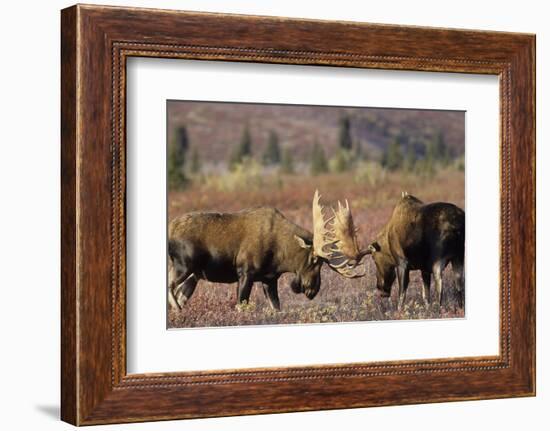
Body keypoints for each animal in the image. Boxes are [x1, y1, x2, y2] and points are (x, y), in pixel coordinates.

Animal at [166, 192, 368, 310]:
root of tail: (170, 229)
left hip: (194, 275)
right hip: (184, 265)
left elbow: (276, 308)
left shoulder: (269, 279)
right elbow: (241, 306)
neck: (280, 257)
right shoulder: (245, 272)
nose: (312, 290)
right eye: (314, 260)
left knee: (179, 294)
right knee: (170, 286)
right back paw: (178, 309)